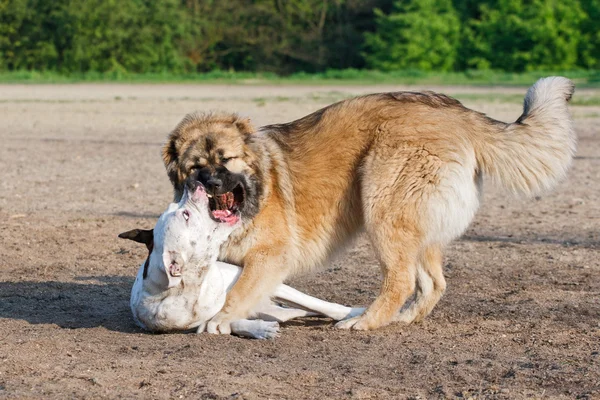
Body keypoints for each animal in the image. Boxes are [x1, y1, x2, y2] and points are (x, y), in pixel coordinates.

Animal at [117, 183, 360, 340]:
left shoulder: (259, 278)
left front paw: (354, 313)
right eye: (186, 215)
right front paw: (259, 329)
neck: (198, 284)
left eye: (175, 208)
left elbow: (320, 304)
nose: (191, 184)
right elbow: (220, 323)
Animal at [162, 76, 576, 332]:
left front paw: (221, 319)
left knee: (401, 279)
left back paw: (366, 321)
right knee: (432, 282)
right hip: (413, 226)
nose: (211, 183)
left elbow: (239, 291)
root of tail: (455, 112)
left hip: (382, 209)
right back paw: (403, 319)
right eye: (194, 167)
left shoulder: (270, 256)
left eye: (227, 160)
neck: (260, 187)